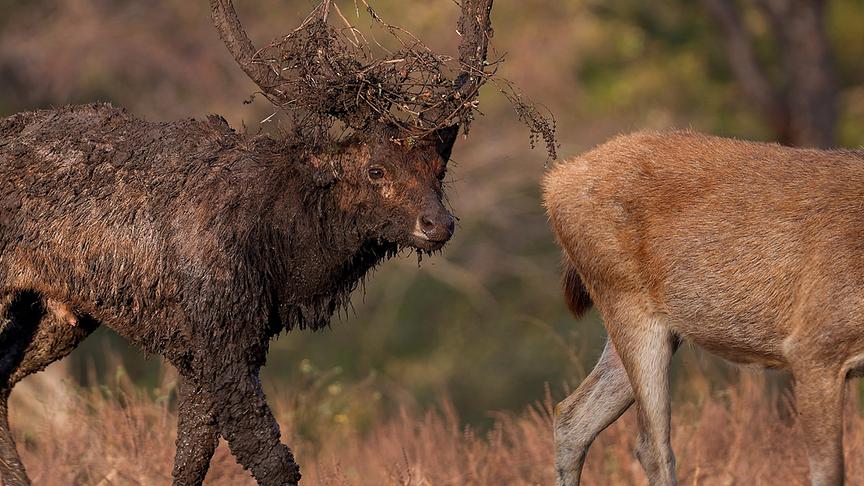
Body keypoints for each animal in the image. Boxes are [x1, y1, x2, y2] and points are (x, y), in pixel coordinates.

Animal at [0, 0, 497, 484]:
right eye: (376, 169)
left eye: (438, 168)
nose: (438, 224)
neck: (284, 253)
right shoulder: (221, 338)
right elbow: (270, 459)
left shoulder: (205, 350)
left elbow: (192, 457)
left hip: (58, 314)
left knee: (4, 377)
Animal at [544, 130, 864, 486]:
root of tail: (554, 182)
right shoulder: (815, 345)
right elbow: (829, 471)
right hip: (627, 302)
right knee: (651, 445)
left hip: (651, 329)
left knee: (572, 417)